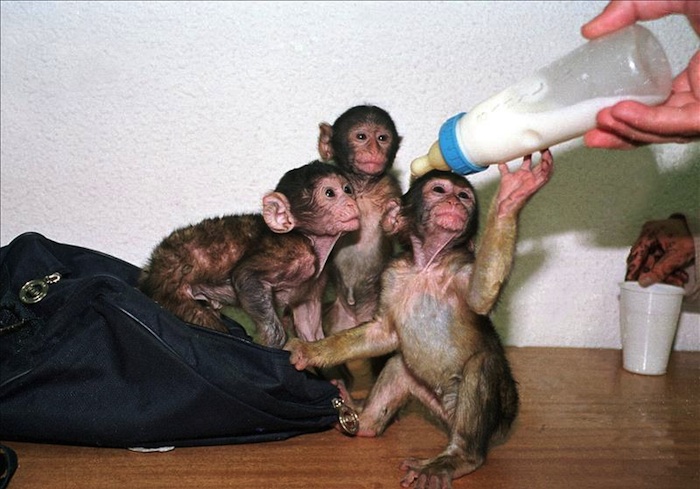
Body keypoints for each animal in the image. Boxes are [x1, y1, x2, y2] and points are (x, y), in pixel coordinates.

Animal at [139, 161, 360, 348]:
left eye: (347, 190)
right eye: (330, 193)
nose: (351, 203)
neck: (310, 239)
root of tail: (153, 267)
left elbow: (309, 329)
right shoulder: (295, 252)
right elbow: (246, 276)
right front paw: (273, 342)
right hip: (170, 290)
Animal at [286, 151, 554, 488]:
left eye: (464, 196)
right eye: (439, 190)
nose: (454, 201)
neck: (427, 266)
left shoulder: (461, 269)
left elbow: (480, 296)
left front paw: (512, 196)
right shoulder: (392, 274)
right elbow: (381, 333)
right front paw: (311, 351)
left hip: (497, 418)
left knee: (482, 364)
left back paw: (458, 458)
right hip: (435, 405)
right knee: (399, 366)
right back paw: (366, 422)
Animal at [318, 105, 403, 335]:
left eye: (382, 138)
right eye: (361, 136)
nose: (374, 149)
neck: (362, 188)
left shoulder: (391, 188)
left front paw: (393, 218)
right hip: (337, 319)